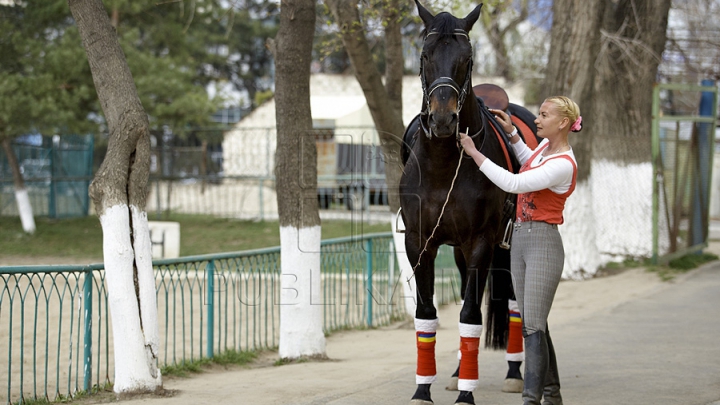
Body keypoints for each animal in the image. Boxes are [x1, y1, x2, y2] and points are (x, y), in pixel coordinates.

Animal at [400, 1, 540, 402]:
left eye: (467, 57)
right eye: (425, 55)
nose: (444, 118)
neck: (444, 162)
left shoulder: (482, 242)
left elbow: (470, 316)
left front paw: (467, 393)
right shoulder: (419, 243)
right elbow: (427, 314)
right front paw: (423, 389)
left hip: (505, 244)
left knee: (512, 303)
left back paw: (514, 372)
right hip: (460, 249)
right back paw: (460, 370)